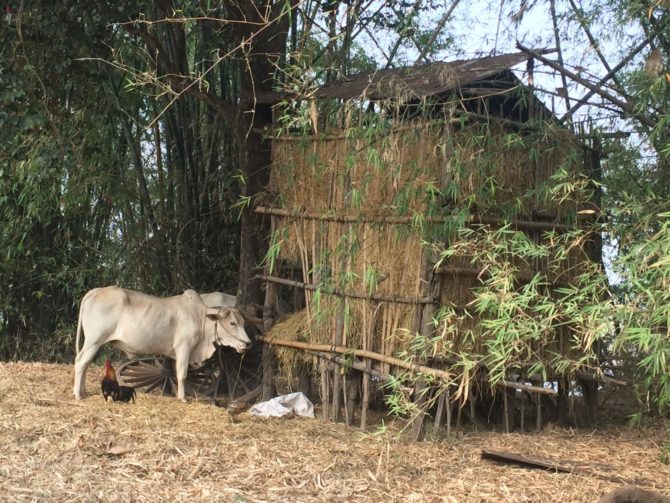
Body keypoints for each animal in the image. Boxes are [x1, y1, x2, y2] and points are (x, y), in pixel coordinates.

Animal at [73, 288, 252, 402]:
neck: (200, 318)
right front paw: (182, 398)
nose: (248, 343)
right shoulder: (184, 348)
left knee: (85, 363)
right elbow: (182, 374)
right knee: (81, 362)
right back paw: (78, 394)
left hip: (93, 342)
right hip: (94, 340)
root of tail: (96, 291)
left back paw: (83, 391)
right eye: (232, 323)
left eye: (243, 322)